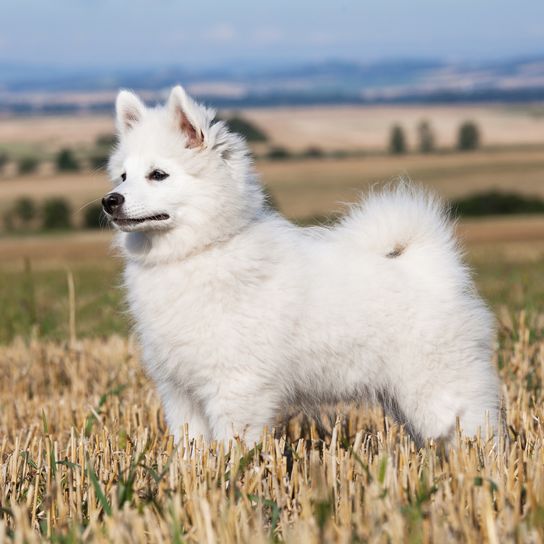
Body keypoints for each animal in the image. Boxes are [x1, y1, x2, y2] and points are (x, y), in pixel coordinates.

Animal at [104, 86, 500, 446]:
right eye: (123, 176)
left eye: (158, 174)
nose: (110, 200)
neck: (202, 249)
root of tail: (430, 265)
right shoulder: (180, 391)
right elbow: (193, 449)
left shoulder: (236, 387)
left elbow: (234, 446)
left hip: (439, 389)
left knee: (479, 434)